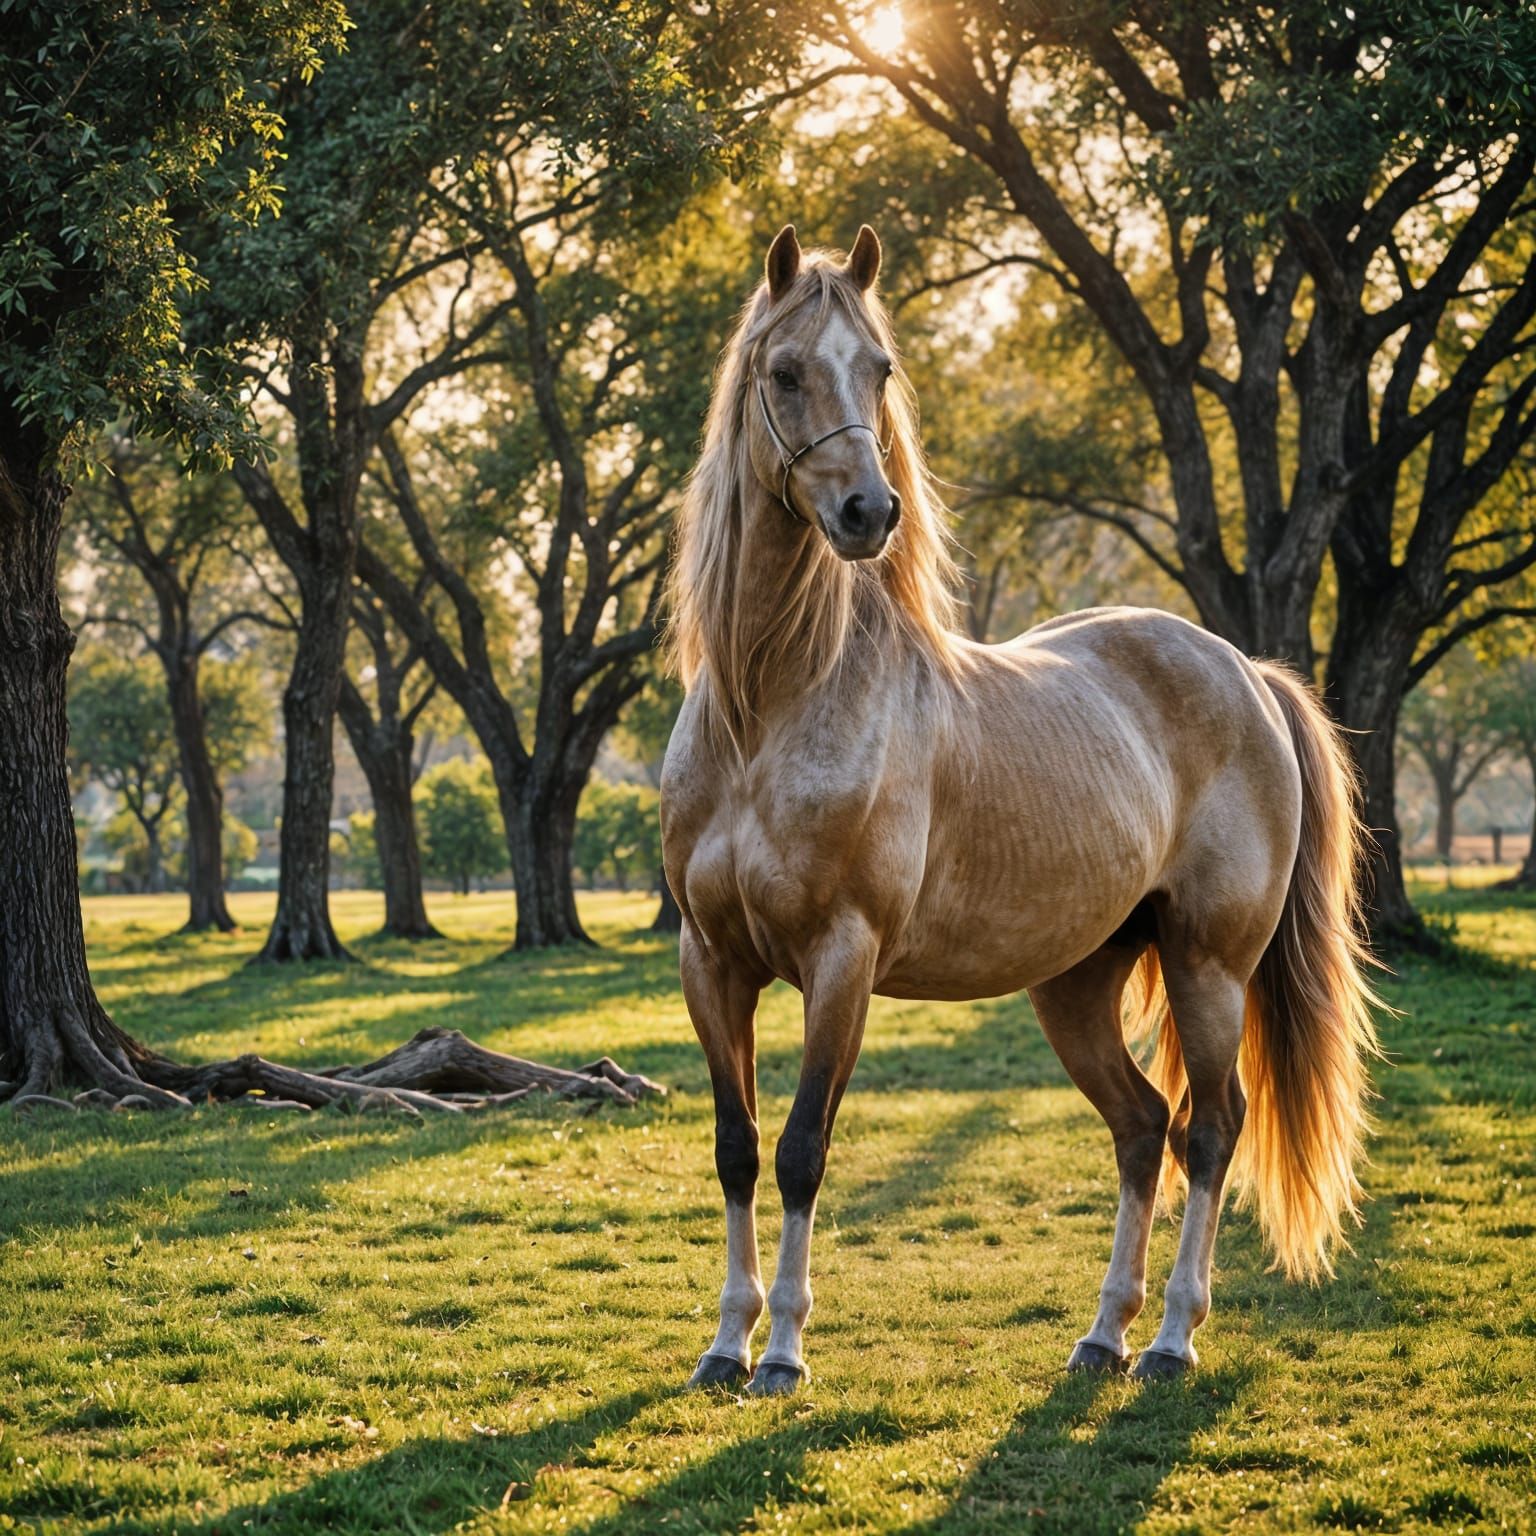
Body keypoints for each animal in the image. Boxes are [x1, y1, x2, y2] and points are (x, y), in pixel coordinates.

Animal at [659, 222, 1380, 1396]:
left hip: (1208, 965)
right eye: (786, 372)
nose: (869, 513)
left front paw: (785, 1352)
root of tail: (1246, 671)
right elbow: (736, 1147)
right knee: (1142, 1128)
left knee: (1210, 1130)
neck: (770, 711)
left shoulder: (840, 961)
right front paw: (726, 1343)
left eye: (880, 371)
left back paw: (1171, 1338)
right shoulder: (710, 961)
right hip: (1077, 984)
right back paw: (1104, 1334)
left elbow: (804, 1148)